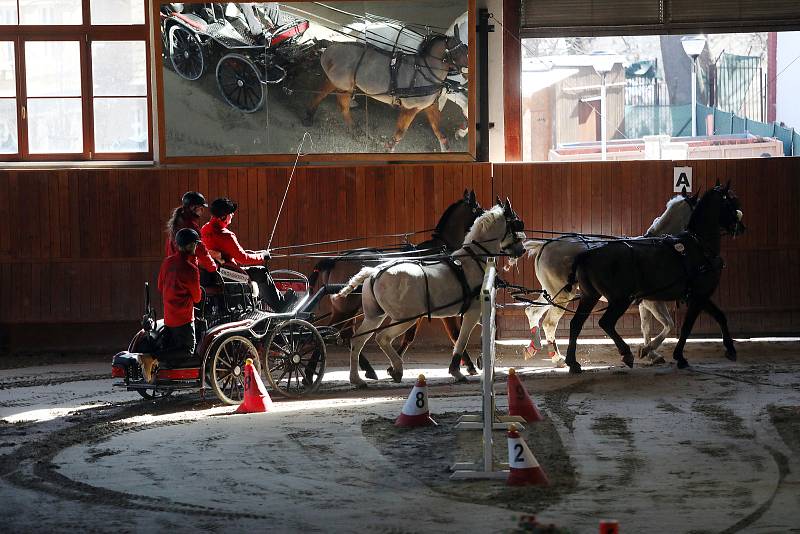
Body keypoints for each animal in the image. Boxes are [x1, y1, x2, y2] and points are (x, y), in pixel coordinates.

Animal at [304, 33, 468, 152]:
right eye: (461, 50)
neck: (424, 71)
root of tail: (333, 44)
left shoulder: (429, 106)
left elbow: (438, 130)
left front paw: (446, 147)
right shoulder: (411, 108)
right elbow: (401, 132)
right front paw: (390, 147)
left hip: (340, 84)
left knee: (331, 100)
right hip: (340, 84)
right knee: (332, 101)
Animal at [310, 191, 484, 378]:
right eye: (479, 209)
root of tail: (335, 260)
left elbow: (410, 336)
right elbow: (455, 335)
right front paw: (468, 364)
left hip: (347, 309)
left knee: (340, 333)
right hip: (345, 309)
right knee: (327, 332)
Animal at [336, 199, 528, 388]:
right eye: (516, 223)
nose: (522, 250)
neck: (474, 260)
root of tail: (374, 271)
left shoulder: (479, 312)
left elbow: (487, 332)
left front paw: (482, 361)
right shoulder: (472, 312)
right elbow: (461, 340)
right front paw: (457, 371)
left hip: (374, 316)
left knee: (357, 341)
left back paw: (357, 378)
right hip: (405, 318)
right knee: (382, 338)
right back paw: (396, 369)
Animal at [520, 191, 700, 366]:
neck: (653, 245)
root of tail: (545, 245)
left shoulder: (644, 301)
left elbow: (646, 326)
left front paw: (651, 353)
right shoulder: (652, 301)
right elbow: (668, 324)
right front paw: (648, 351)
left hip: (551, 293)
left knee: (532, 311)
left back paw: (534, 346)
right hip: (563, 295)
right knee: (549, 322)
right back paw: (558, 358)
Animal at [564, 182, 748, 374]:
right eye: (732, 202)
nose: (741, 228)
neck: (698, 247)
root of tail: (587, 253)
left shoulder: (696, 296)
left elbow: (719, 316)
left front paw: (730, 349)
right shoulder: (690, 297)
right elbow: (682, 326)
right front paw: (674, 356)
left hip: (590, 296)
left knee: (576, 324)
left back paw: (573, 362)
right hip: (619, 300)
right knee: (605, 322)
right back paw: (625, 354)